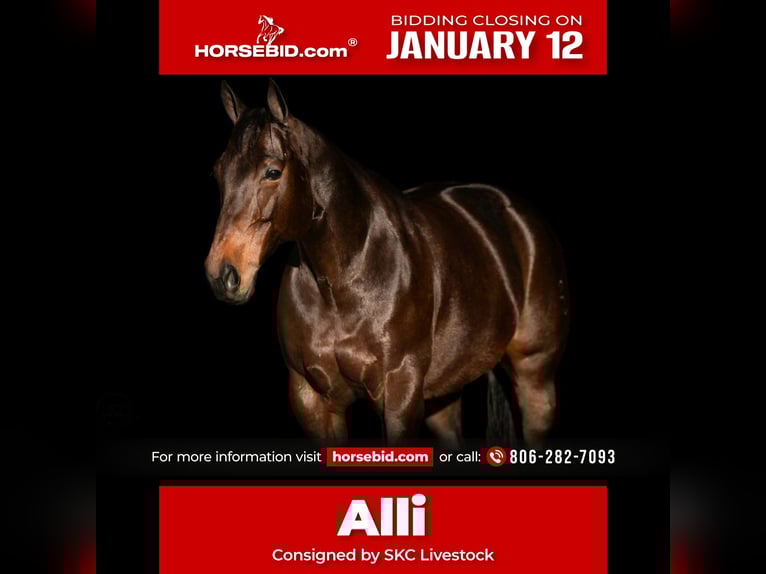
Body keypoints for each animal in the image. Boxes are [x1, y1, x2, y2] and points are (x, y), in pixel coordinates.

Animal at [205, 80, 569, 448]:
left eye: (272, 172)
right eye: (218, 172)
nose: (223, 275)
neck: (345, 279)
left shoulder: (399, 394)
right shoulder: (313, 399)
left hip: (535, 378)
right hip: (443, 396)